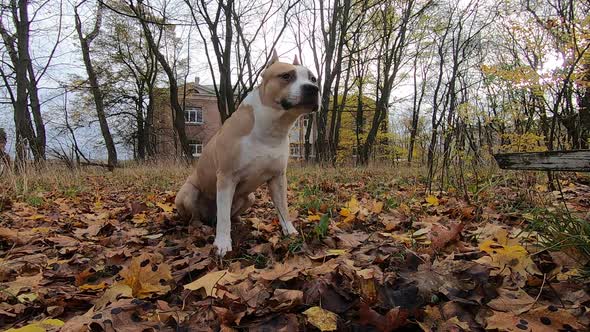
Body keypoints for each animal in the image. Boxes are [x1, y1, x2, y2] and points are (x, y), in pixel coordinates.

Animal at [176, 50, 322, 256]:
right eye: (286, 76)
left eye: (313, 78)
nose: (313, 89)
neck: (272, 128)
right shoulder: (226, 177)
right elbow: (223, 218)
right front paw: (222, 243)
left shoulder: (278, 178)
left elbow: (283, 208)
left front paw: (290, 231)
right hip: (188, 192)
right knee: (198, 217)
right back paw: (199, 226)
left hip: (250, 197)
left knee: (228, 215)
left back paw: (238, 221)